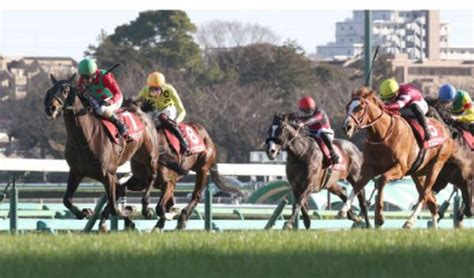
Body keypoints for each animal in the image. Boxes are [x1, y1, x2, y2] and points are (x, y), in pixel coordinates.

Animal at [43, 74, 157, 230]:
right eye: (50, 90)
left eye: (65, 90)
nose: (51, 108)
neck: (84, 140)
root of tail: (139, 110)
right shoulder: (76, 172)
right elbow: (67, 200)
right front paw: (84, 213)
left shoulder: (107, 174)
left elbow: (115, 207)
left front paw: (128, 215)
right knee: (122, 188)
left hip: (148, 156)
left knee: (151, 177)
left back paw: (146, 209)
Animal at [340, 86, 470, 228]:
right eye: (347, 107)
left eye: (360, 107)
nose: (346, 127)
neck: (382, 135)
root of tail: (446, 130)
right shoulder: (369, 168)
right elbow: (358, 185)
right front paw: (344, 210)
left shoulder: (400, 168)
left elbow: (381, 180)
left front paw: (379, 217)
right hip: (418, 173)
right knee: (431, 200)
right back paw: (434, 226)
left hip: (436, 165)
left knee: (425, 195)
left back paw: (410, 221)